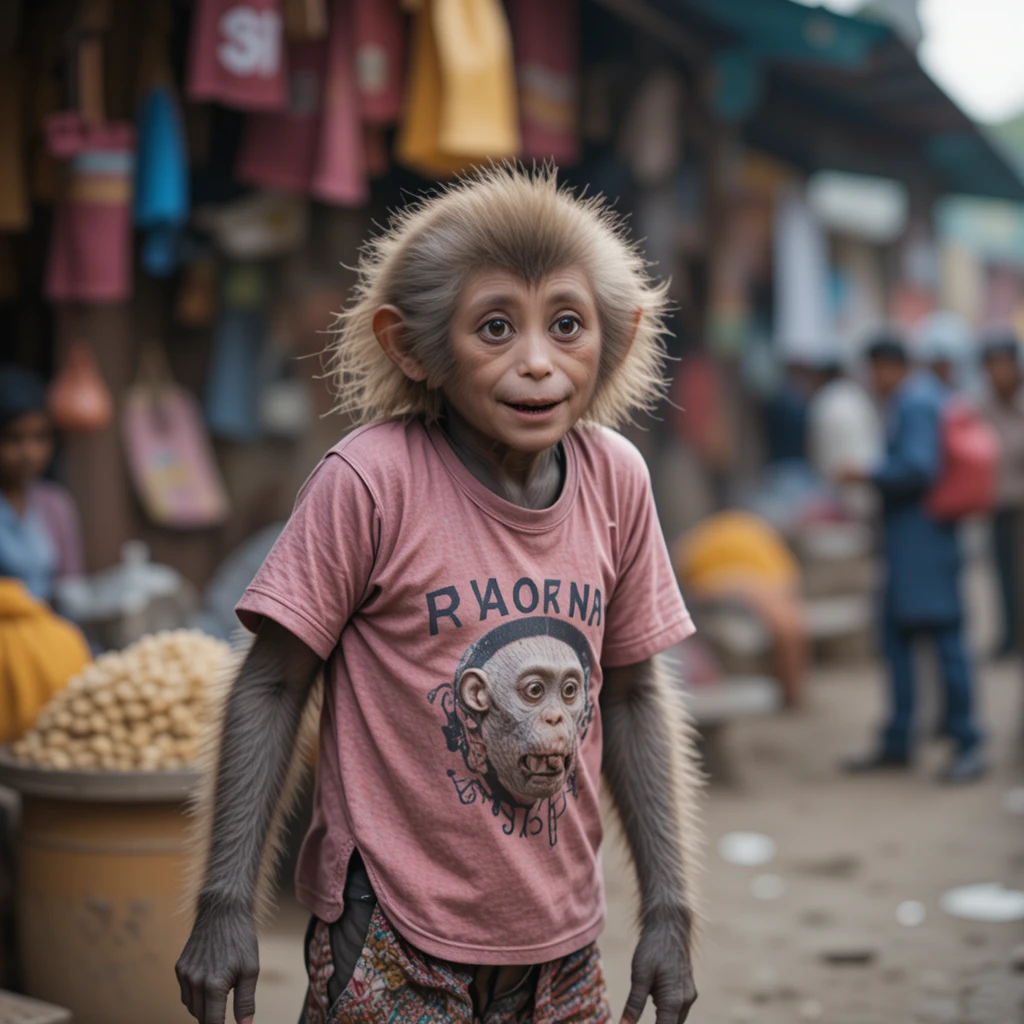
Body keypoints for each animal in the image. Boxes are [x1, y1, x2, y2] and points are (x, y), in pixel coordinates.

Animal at [177, 164, 703, 1024]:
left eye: (564, 323)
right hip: (380, 959)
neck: (506, 471)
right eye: (495, 327)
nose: (537, 371)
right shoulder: (344, 488)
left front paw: (667, 949)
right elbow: (275, 682)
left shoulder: (633, 484)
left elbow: (630, 693)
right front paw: (220, 939)